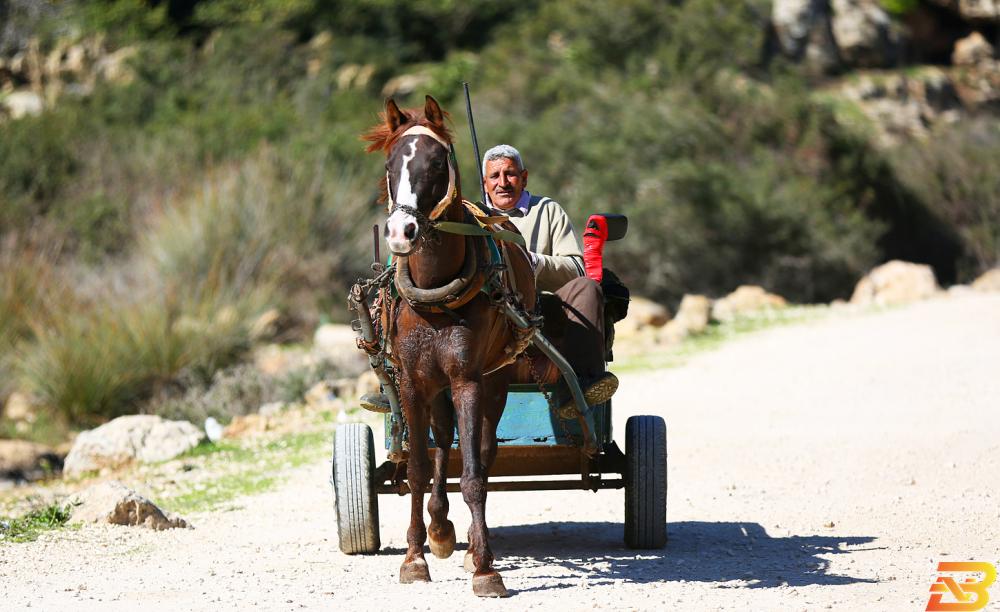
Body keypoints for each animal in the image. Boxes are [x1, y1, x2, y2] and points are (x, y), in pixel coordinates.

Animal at [362, 95, 536, 596]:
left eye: (437, 163)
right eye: (389, 164)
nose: (401, 232)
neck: (435, 293)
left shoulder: (467, 380)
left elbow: (474, 472)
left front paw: (485, 567)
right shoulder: (412, 384)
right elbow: (419, 468)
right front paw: (415, 556)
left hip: (495, 380)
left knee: (484, 451)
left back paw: (474, 545)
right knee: (442, 444)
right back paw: (440, 529)